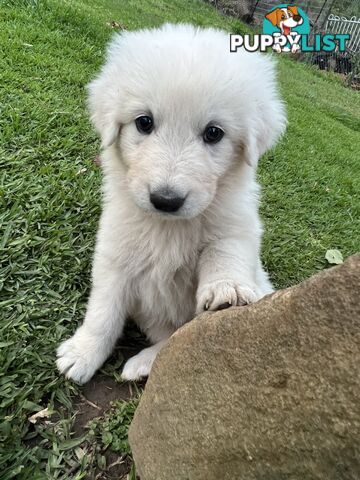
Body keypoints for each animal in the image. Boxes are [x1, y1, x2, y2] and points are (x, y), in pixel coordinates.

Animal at [57, 22, 286, 384]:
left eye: (214, 133)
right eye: (144, 122)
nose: (166, 200)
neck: (167, 227)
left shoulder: (236, 227)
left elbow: (224, 251)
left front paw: (227, 289)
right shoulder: (115, 253)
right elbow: (103, 312)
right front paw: (82, 354)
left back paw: (141, 363)